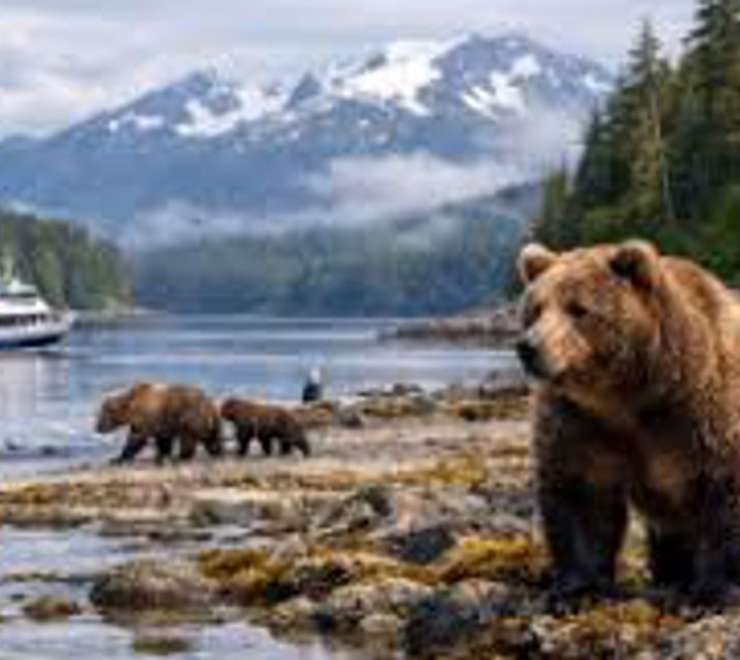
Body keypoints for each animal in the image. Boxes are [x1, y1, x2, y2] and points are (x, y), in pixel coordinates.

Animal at [516, 239, 740, 606]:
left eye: (578, 309)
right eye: (534, 309)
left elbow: (722, 489)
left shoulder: (702, 410)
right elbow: (581, 495)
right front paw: (576, 588)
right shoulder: (581, 423)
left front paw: (713, 590)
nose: (529, 346)